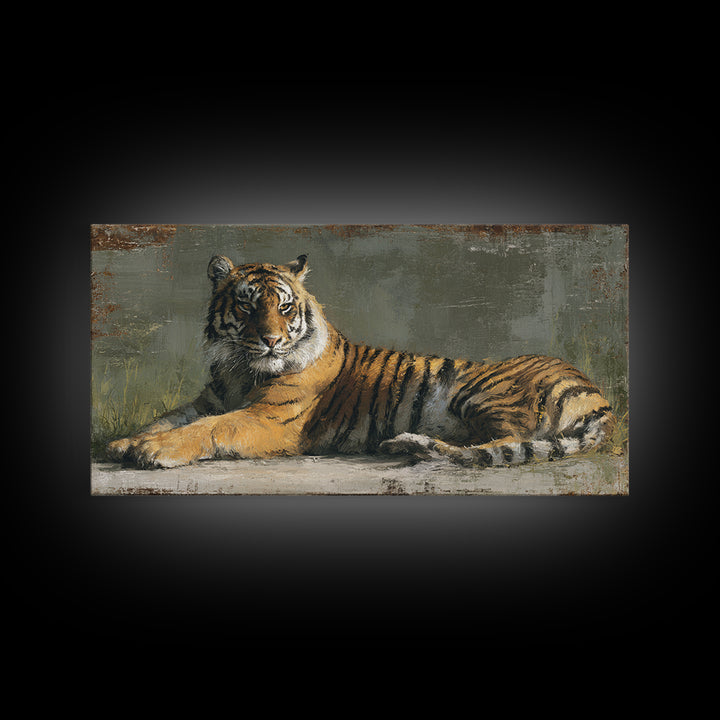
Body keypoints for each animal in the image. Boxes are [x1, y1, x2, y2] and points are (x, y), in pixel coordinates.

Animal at [106, 253, 616, 470]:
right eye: (247, 306)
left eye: (284, 307)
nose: (271, 341)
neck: (238, 369)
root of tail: (600, 396)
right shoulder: (207, 399)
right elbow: (169, 418)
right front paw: (125, 442)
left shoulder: (269, 419)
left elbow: (208, 428)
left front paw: (150, 451)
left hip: (480, 390)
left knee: (504, 443)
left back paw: (414, 445)